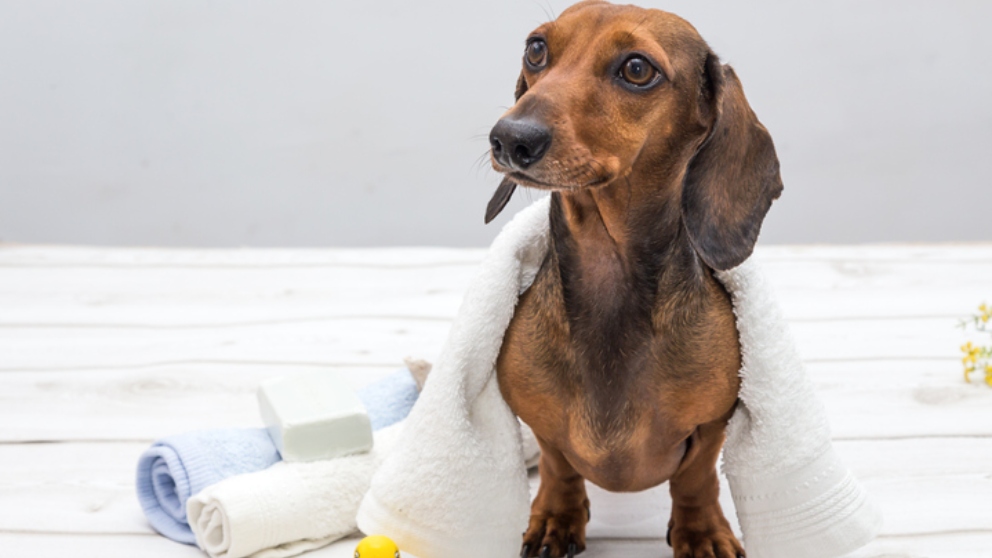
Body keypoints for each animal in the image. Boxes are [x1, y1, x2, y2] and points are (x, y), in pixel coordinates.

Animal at [486, 2, 784, 556]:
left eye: (638, 69)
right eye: (536, 49)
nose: (511, 138)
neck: (609, 280)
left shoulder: (712, 422)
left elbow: (695, 477)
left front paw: (700, 529)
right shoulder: (540, 423)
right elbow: (559, 466)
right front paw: (556, 517)